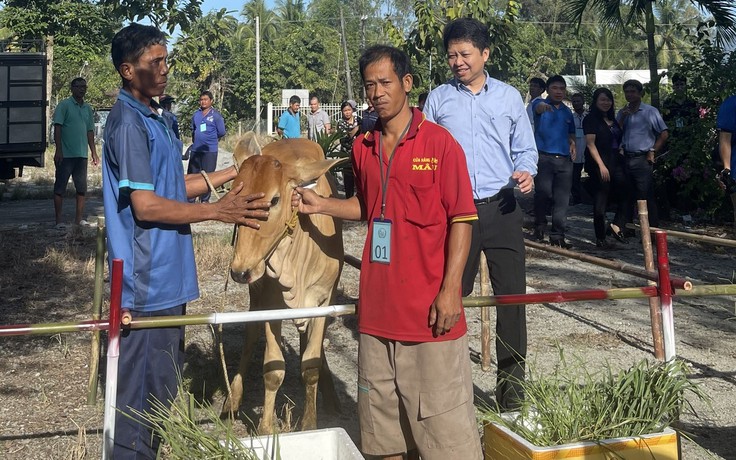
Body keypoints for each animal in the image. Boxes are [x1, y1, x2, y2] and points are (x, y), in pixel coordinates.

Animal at [223, 134, 346, 434]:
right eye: (234, 194)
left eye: (275, 199)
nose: (240, 270)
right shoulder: (269, 304)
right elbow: (273, 369)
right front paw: (266, 430)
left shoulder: (324, 301)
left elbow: (310, 365)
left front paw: (310, 424)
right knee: (250, 336)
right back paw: (233, 399)